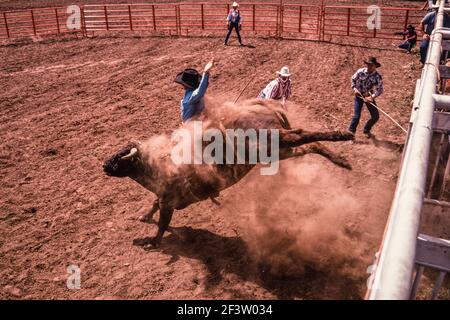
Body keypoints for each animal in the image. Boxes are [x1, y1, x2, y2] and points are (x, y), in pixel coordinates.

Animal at [103, 99, 354, 246]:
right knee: (310, 145)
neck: (158, 165)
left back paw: (343, 134)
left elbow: (163, 222)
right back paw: (341, 161)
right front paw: (145, 216)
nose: (104, 165)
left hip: (277, 138)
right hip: (279, 150)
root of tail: (261, 106)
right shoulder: (164, 197)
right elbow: (154, 205)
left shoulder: (169, 200)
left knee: (304, 134)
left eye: (120, 157)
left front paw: (151, 241)